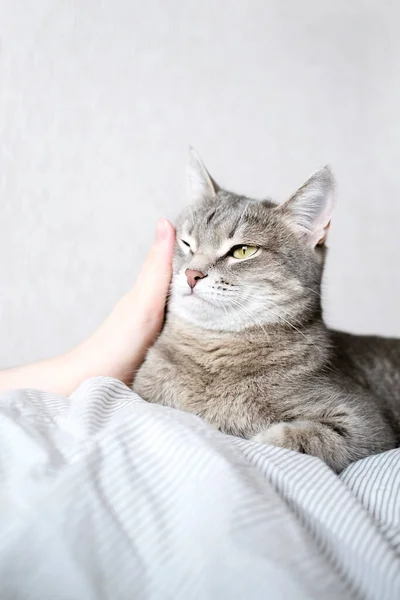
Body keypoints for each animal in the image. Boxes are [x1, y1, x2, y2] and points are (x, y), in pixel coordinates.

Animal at [134, 149, 400, 474]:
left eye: (243, 251)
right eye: (186, 243)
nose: (191, 274)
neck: (213, 350)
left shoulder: (365, 424)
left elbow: (296, 438)